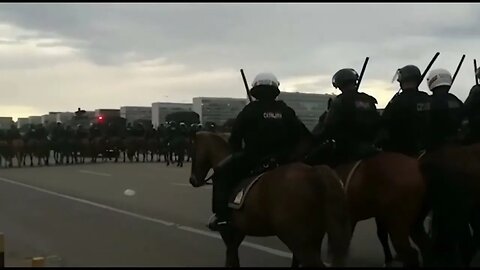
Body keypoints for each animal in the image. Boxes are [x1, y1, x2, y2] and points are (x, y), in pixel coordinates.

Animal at [188, 131, 352, 268]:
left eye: (193, 151)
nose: (192, 180)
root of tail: (316, 172)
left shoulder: (229, 234)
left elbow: (231, 260)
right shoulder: (238, 234)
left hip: (299, 241)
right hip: (313, 238)